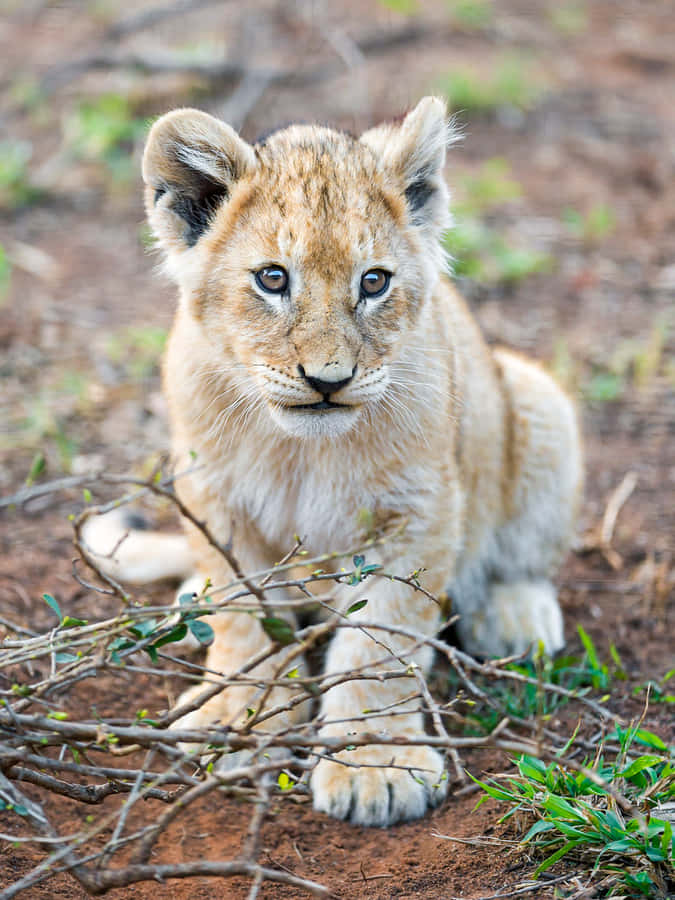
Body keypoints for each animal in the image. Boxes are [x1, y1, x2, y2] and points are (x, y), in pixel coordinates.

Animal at [83, 97, 582, 826]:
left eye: (373, 282)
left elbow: (379, 642)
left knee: (520, 558)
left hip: (536, 398)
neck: (301, 449)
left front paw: (374, 766)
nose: (327, 381)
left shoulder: (420, 512)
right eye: (272, 279)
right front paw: (239, 718)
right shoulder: (213, 495)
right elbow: (242, 615)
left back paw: (516, 617)